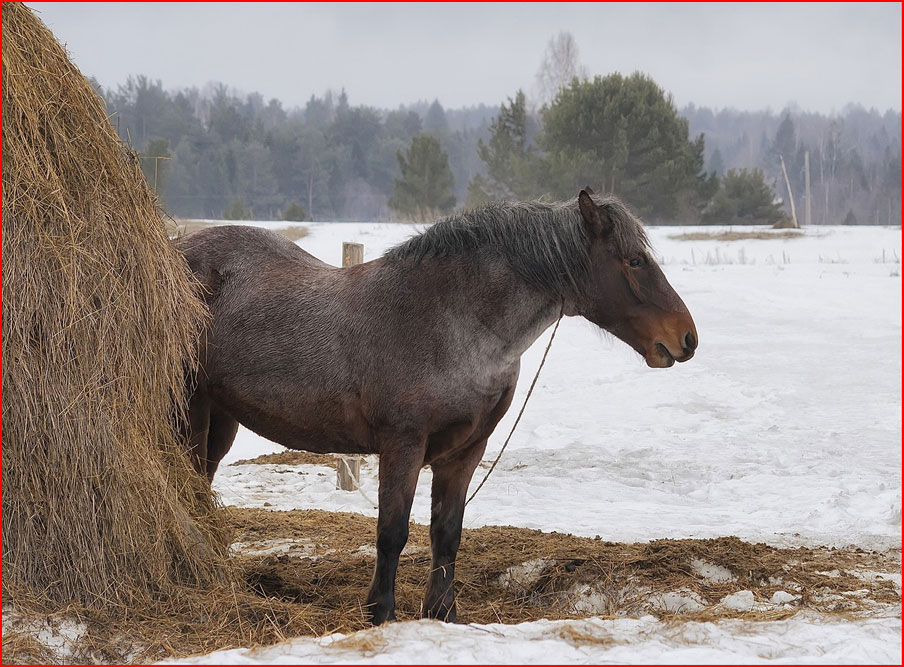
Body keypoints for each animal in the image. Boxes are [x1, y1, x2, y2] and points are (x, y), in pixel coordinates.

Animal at [177, 189, 700, 628]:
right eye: (634, 261)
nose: (687, 338)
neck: (449, 321)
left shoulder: (465, 451)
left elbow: (446, 533)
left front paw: (442, 613)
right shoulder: (403, 445)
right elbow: (392, 531)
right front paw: (381, 612)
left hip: (222, 418)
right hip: (190, 411)